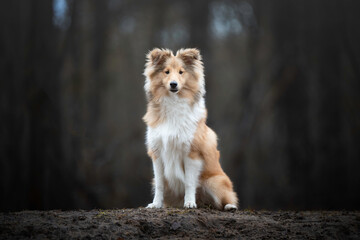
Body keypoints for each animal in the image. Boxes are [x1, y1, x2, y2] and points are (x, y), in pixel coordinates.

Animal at [142, 47, 238, 210]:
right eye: (166, 71)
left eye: (181, 72)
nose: (173, 84)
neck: (173, 102)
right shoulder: (157, 153)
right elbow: (160, 184)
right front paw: (156, 204)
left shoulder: (192, 153)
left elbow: (189, 182)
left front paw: (189, 202)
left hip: (215, 182)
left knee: (225, 199)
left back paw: (228, 206)